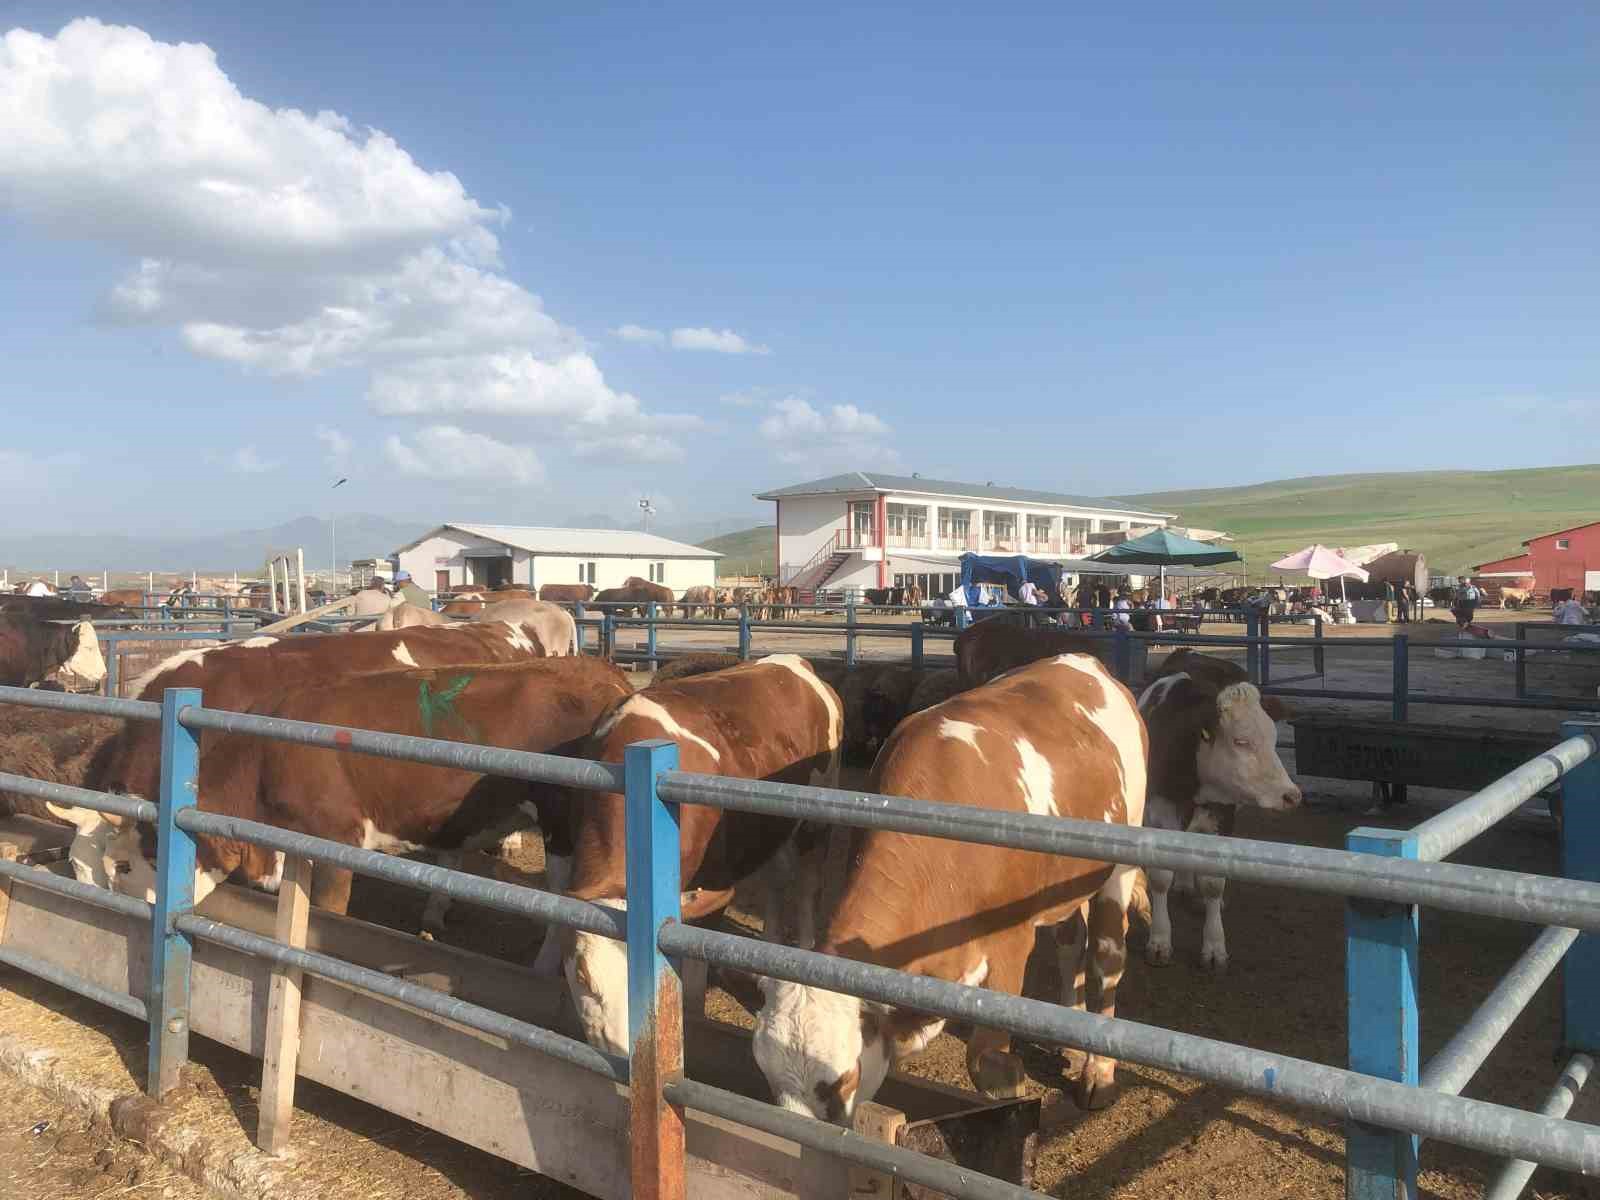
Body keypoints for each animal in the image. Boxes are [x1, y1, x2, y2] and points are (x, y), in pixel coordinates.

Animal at [556, 659, 844, 1062]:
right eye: (583, 976)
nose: (624, 1051)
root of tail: (791, 661)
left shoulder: (713, 884)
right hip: (770, 828)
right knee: (777, 878)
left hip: (817, 820)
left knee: (808, 884)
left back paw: (802, 952)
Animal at [752, 652, 1152, 1126]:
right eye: (766, 1074)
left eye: (842, 1083)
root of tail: (1083, 661)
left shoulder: (1010, 942)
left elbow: (989, 1064)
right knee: (1070, 942)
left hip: (1120, 862)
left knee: (1106, 957)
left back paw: (1099, 1073)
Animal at [1139, 649, 1299, 979]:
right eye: (1241, 741)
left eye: (1274, 739)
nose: (1291, 795)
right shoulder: (1158, 814)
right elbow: (1160, 878)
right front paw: (1159, 941)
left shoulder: (1223, 817)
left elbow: (1213, 883)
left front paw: (1214, 948)